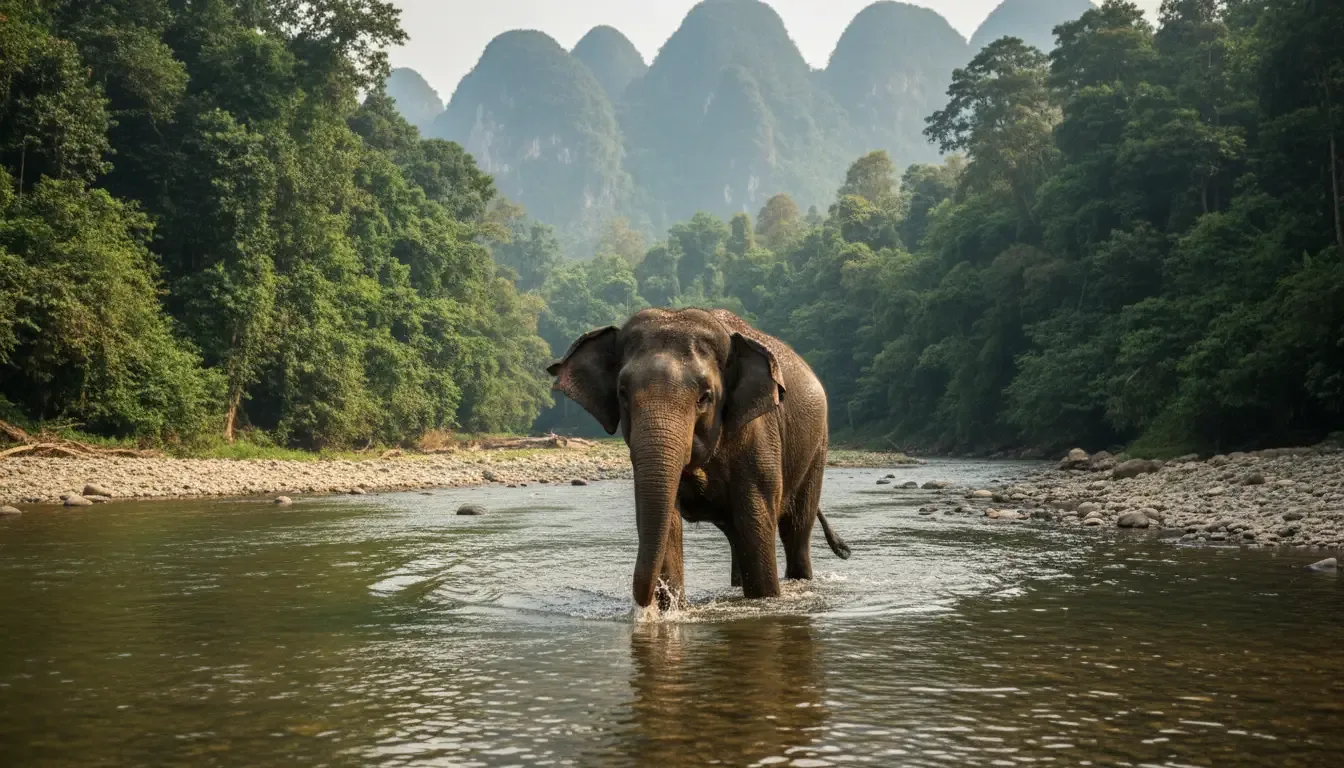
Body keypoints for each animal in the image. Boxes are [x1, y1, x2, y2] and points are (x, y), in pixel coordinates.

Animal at [547, 307, 850, 609]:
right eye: (622, 392)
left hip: (817, 449)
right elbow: (669, 523)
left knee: (795, 531)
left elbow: (757, 524)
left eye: (704, 397)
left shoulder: (760, 438)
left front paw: (765, 601)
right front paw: (672, 608)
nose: (645, 603)